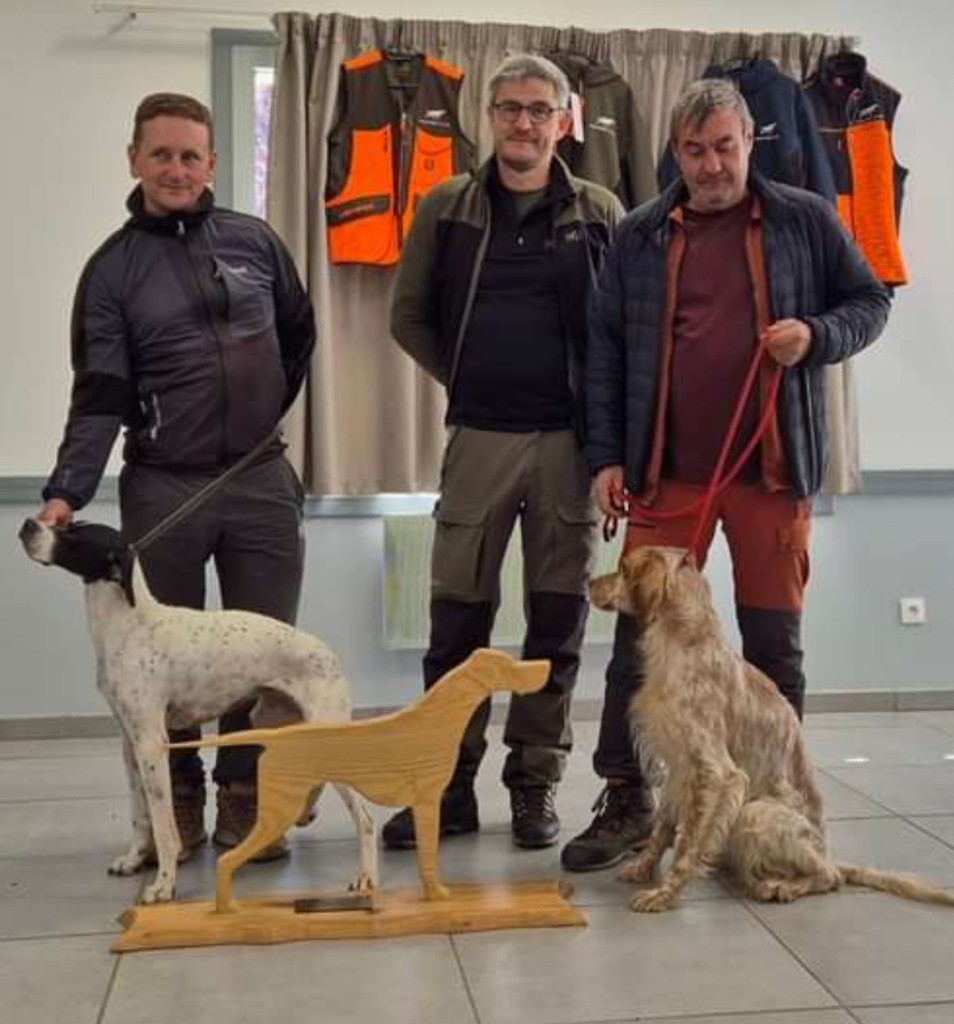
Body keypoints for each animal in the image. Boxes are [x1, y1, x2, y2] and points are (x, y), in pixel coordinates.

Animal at [18, 520, 376, 905]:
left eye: (73, 533)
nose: (28, 525)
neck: (129, 623)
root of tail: (330, 655)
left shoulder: (151, 744)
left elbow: (163, 828)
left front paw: (163, 885)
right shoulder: (130, 745)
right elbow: (139, 816)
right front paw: (133, 860)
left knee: (366, 818)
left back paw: (366, 877)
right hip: (281, 728)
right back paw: (307, 813)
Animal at [589, 548, 953, 917]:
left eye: (622, 569)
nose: (589, 582)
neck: (685, 642)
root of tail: (826, 850)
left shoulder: (718, 773)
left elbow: (688, 845)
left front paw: (665, 892)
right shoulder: (680, 767)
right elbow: (662, 828)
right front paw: (644, 868)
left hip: (755, 812)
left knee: (830, 876)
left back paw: (783, 887)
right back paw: (754, 880)